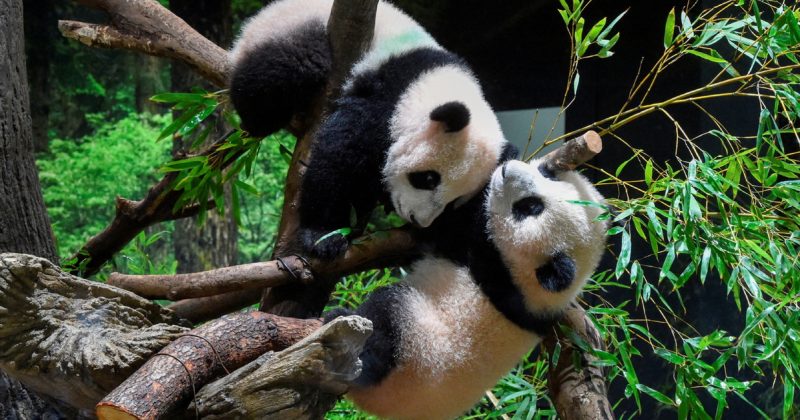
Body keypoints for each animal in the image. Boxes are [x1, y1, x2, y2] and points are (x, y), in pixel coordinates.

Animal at [229, 0, 511, 258]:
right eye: (428, 179)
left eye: (454, 202)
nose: (418, 219)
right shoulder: (386, 95)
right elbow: (340, 153)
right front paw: (325, 235)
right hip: (290, 31)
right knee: (286, 69)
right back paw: (262, 119)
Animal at [325, 158, 609, 419]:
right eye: (546, 174)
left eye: (529, 207)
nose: (508, 169)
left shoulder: (491, 264)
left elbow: (448, 228)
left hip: (413, 350)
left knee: (384, 323)